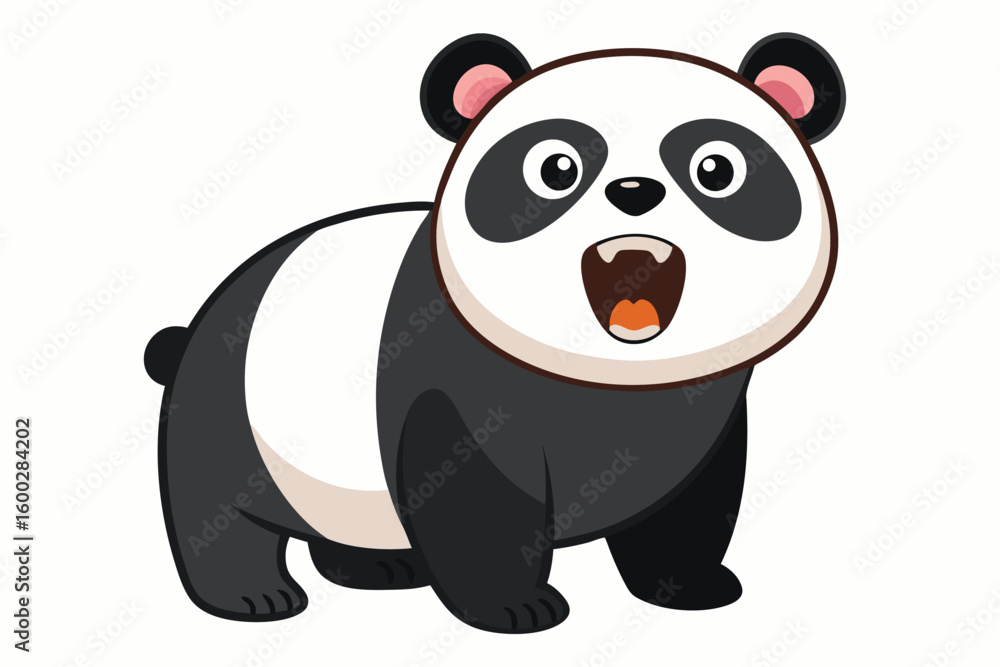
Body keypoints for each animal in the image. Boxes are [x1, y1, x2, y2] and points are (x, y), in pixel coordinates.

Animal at [145, 32, 845, 634]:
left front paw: (689, 587)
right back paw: (253, 596)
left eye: (717, 170)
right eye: (556, 168)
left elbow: (692, 502)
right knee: (216, 509)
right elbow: (474, 493)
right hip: (226, 410)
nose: (635, 191)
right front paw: (515, 608)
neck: (611, 374)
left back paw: (378, 569)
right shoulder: (459, 376)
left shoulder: (707, 403)